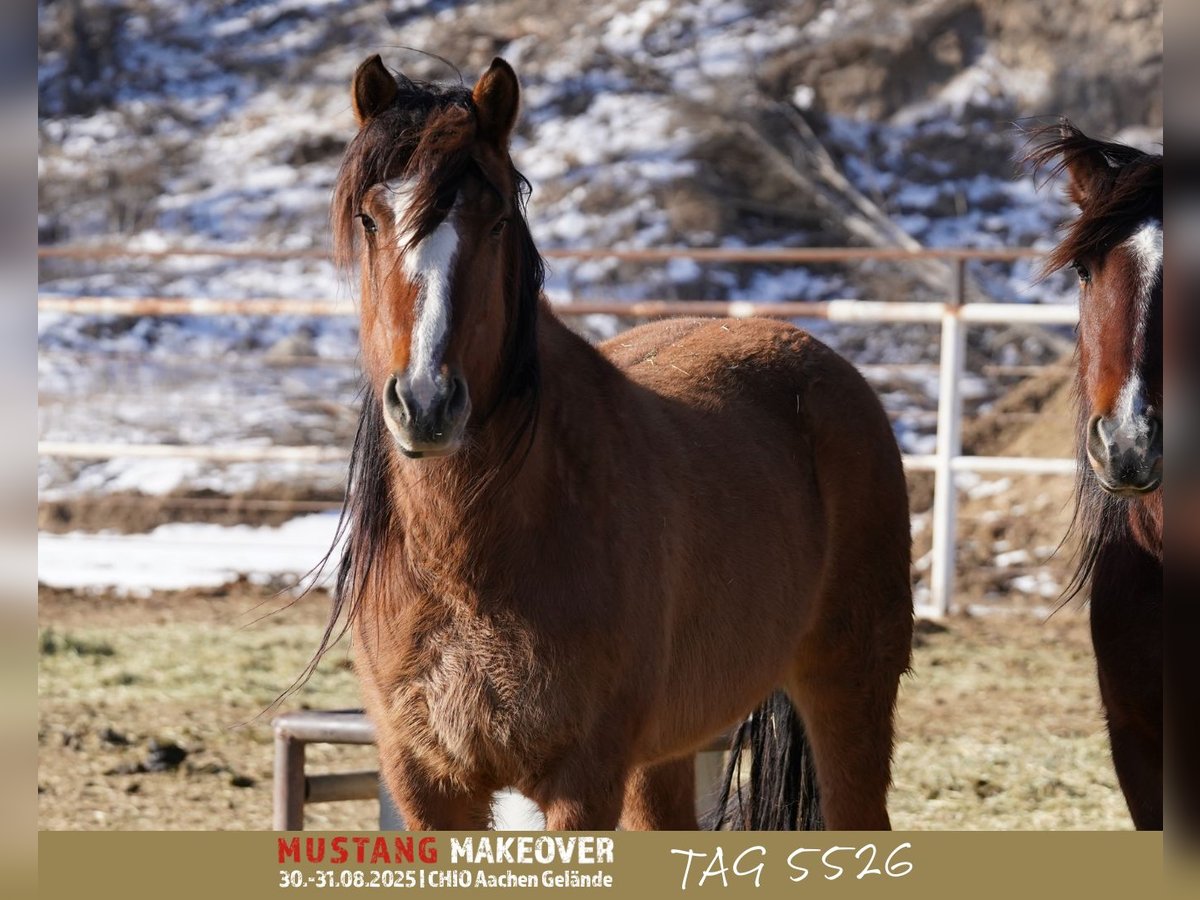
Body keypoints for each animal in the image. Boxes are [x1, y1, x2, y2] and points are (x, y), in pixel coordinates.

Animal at [319, 54, 907, 830]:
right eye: (370, 217)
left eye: (497, 220)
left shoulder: (584, 781)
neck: (464, 559)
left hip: (850, 690)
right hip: (664, 754)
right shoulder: (427, 785)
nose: (425, 402)